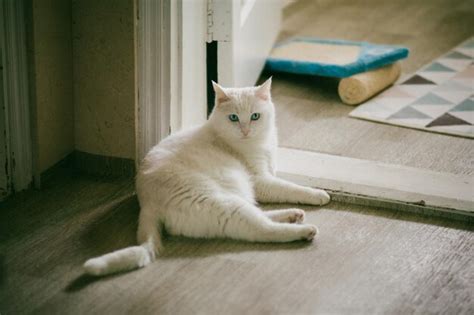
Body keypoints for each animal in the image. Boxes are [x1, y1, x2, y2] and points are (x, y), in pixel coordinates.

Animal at [83, 79, 330, 276]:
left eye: (255, 116)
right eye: (233, 118)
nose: (245, 130)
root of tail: (147, 204)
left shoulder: (266, 175)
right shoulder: (261, 181)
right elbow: (291, 187)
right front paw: (319, 194)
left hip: (234, 198)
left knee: (261, 214)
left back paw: (293, 215)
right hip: (225, 205)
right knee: (263, 229)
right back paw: (304, 230)